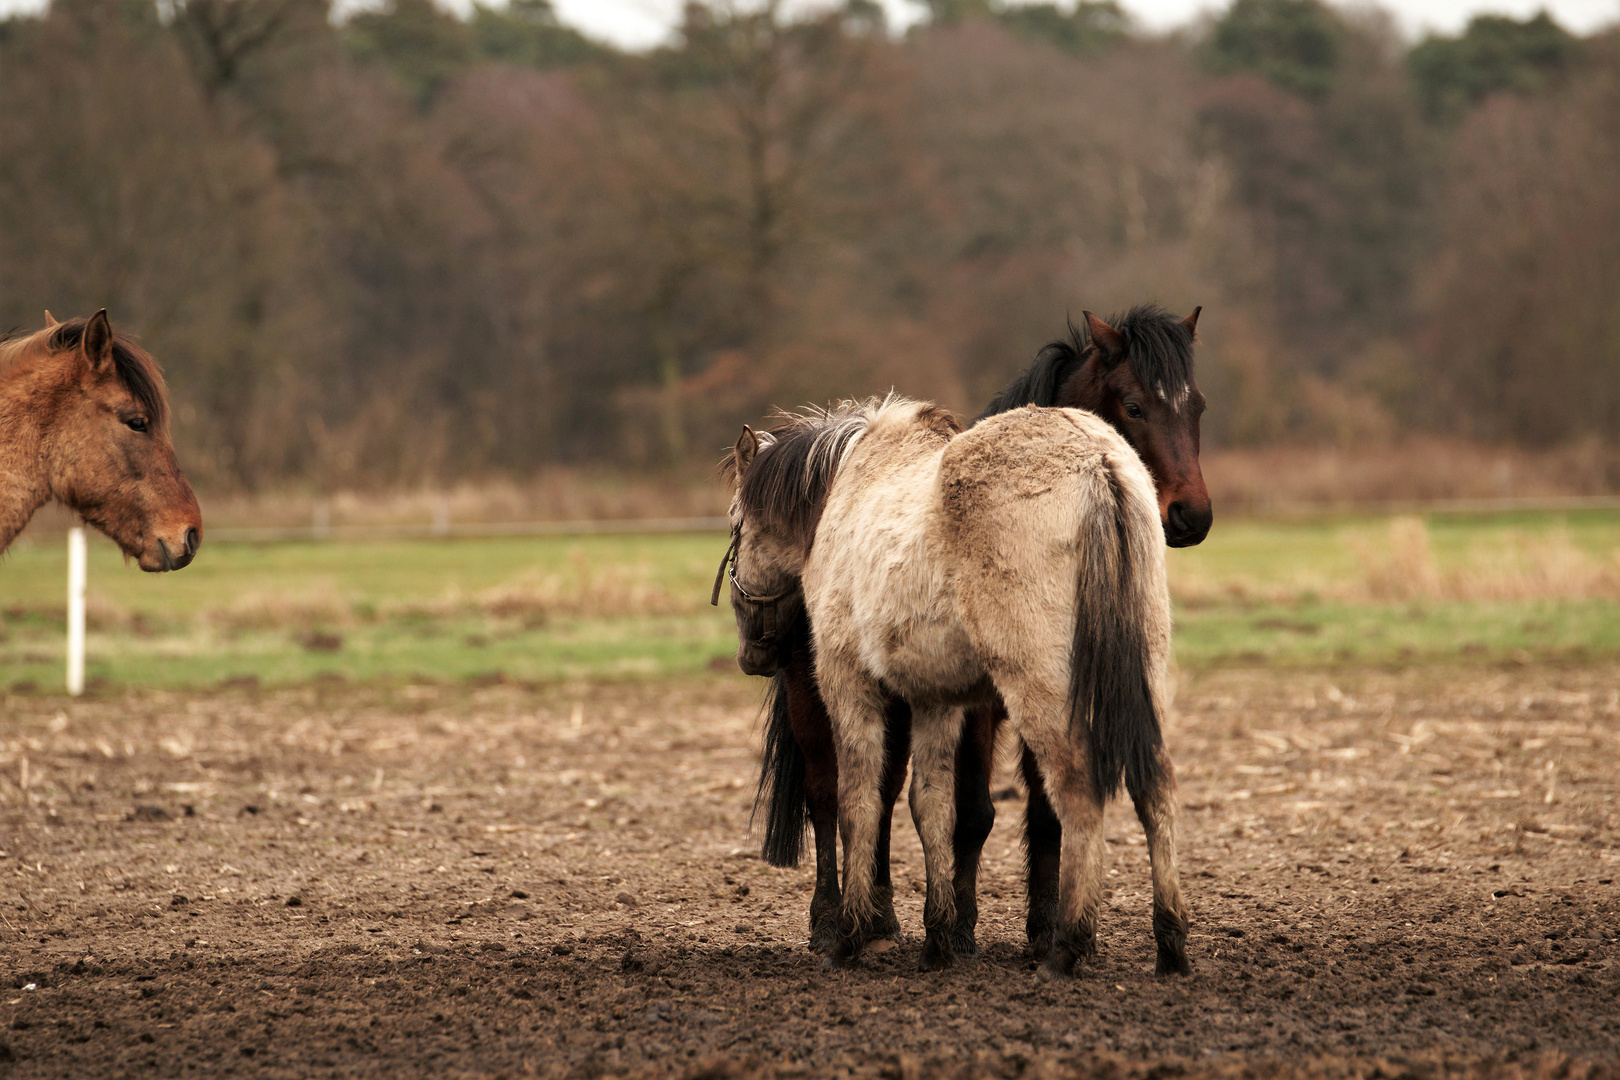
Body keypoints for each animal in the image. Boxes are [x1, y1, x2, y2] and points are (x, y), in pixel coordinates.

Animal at [729, 304, 1211, 952]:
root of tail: (1100, 466)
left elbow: (894, 802)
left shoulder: (866, 685)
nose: (1192, 517)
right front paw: (953, 926)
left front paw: (968, 926)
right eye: (1135, 406)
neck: (849, 486)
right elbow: (938, 804)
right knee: (1153, 786)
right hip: (1129, 678)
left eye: (1197, 407)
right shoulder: (946, 700)